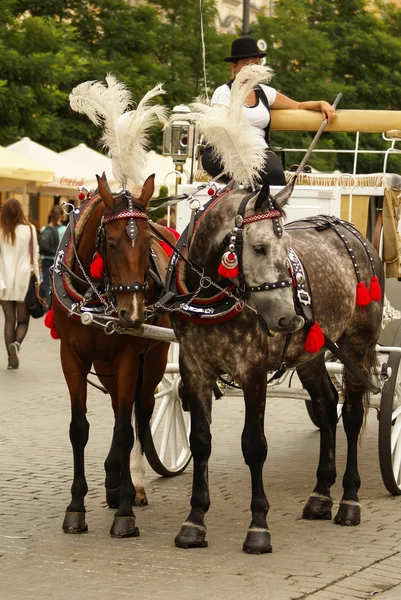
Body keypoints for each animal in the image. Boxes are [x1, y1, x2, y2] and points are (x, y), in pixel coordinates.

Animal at [51, 171, 173, 536]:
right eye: (113, 244)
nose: (132, 314)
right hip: (106, 366)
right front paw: (76, 507)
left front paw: (125, 512)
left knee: (140, 414)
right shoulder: (71, 357)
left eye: (147, 243)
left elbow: (124, 430)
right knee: (123, 406)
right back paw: (113, 480)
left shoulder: (129, 358)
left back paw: (134, 485)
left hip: (154, 362)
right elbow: (79, 428)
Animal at [164, 180, 382, 556]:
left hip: (358, 347)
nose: (289, 318)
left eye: (289, 247)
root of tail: (350, 231)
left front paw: (258, 527)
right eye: (260, 247)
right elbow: (201, 441)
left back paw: (349, 501)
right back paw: (321, 495)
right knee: (327, 409)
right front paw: (194, 521)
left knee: (352, 416)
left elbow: (254, 445)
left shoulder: (253, 372)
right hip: (313, 354)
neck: (211, 298)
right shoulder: (194, 368)